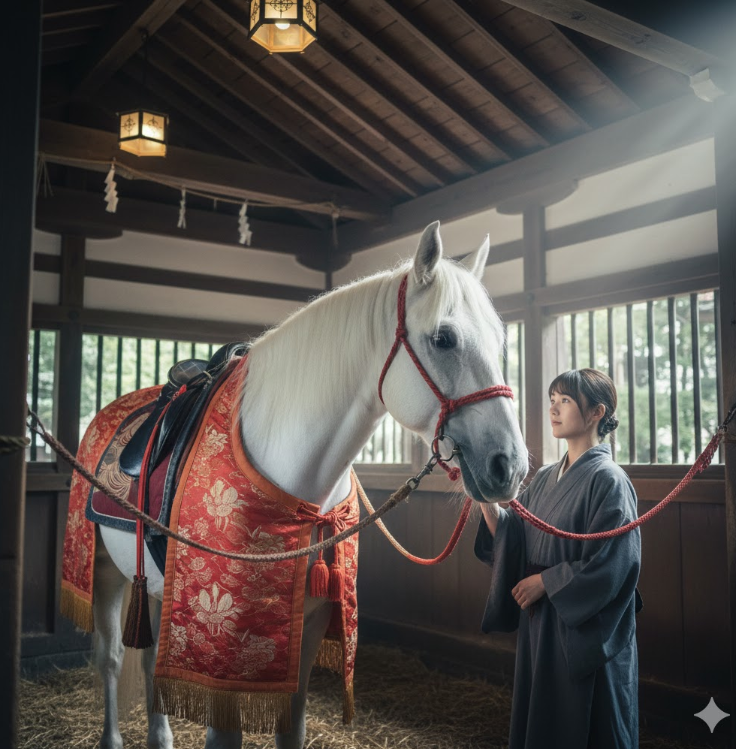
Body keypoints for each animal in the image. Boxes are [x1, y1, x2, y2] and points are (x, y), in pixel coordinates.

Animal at [84, 221, 528, 749]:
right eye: (443, 338)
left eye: (500, 342)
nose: (510, 466)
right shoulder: (218, 652)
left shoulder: (310, 625)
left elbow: (291, 727)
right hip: (101, 570)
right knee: (111, 659)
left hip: (155, 588)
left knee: (152, 661)